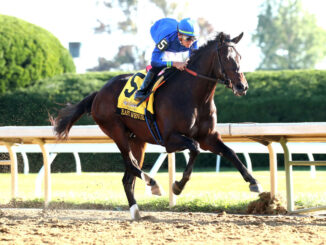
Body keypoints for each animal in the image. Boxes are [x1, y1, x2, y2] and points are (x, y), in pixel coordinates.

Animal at [53, 31, 262, 219]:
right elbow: (194, 149)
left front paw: (253, 182)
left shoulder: (208, 137)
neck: (193, 96)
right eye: (227, 58)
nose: (242, 86)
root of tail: (98, 93)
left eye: (240, 57)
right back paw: (152, 184)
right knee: (131, 165)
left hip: (137, 141)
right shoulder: (170, 140)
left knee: (128, 176)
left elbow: (230, 152)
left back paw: (136, 211)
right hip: (117, 132)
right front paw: (177, 186)